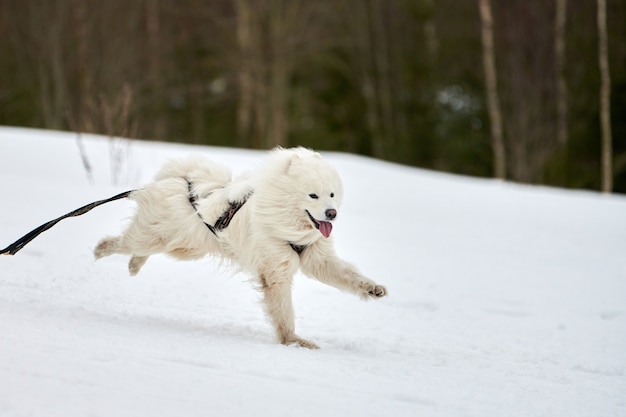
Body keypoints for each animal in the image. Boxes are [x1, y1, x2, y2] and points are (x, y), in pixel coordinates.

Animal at [93, 146, 386, 348]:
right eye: (313, 195)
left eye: (332, 194)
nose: (332, 213)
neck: (288, 222)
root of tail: (181, 181)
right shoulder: (275, 269)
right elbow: (284, 312)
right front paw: (294, 342)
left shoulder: (316, 257)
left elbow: (346, 275)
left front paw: (373, 289)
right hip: (159, 237)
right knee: (123, 242)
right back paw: (101, 250)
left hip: (183, 246)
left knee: (143, 249)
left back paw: (133, 265)